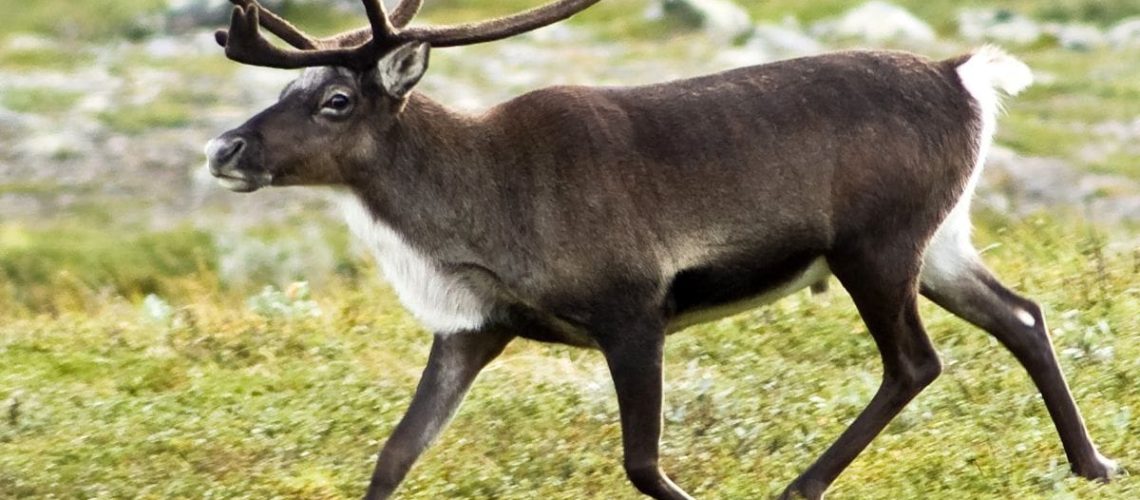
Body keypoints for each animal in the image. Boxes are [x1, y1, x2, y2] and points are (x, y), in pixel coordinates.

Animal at [202, 0, 1120, 498]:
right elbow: (394, 455)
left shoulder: (634, 309)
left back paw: (800, 486)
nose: (224, 148)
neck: (474, 209)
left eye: (335, 99)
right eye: (285, 87)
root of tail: (963, 76)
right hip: (939, 244)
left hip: (877, 246)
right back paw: (1093, 464)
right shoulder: (474, 329)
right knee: (1023, 316)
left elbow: (642, 462)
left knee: (915, 363)